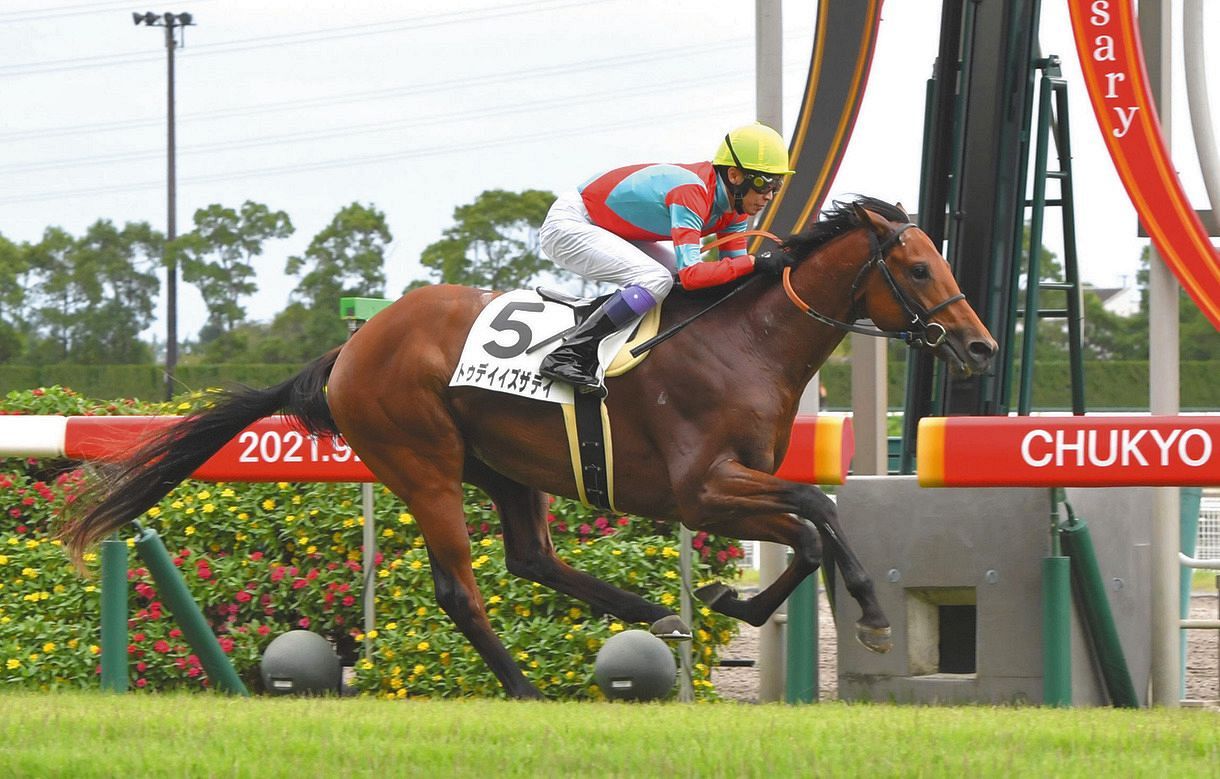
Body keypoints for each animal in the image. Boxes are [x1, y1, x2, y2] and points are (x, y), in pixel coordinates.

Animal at [64, 196, 990, 702]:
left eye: (937, 257)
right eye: (915, 266)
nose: (978, 347)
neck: (745, 342)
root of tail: (352, 347)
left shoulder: (740, 479)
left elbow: (812, 523)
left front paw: (739, 600)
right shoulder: (700, 488)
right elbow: (814, 513)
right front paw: (855, 611)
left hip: (510, 467)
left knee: (533, 558)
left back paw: (649, 613)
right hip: (424, 465)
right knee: (461, 588)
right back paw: (524, 682)